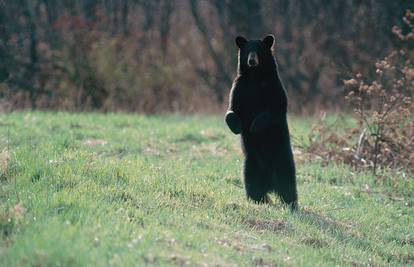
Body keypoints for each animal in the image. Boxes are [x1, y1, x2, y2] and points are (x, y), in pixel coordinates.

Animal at [226, 34, 298, 209]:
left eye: (258, 51)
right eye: (248, 51)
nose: (252, 61)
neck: (255, 76)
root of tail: (270, 185)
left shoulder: (274, 86)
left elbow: (275, 109)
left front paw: (254, 125)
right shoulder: (239, 87)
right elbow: (231, 109)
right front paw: (237, 126)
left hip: (283, 161)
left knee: (288, 185)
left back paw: (291, 204)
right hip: (251, 165)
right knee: (251, 184)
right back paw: (258, 200)